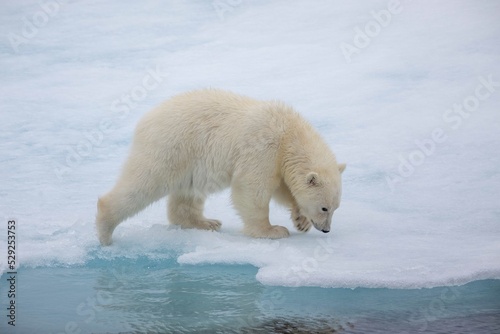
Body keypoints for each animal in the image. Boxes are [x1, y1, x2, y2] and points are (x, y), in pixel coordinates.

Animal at [96, 88, 346, 245]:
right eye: (325, 208)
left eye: (335, 207)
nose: (326, 229)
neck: (289, 132)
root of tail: (145, 120)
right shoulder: (263, 148)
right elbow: (251, 188)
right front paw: (273, 231)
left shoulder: (278, 159)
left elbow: (282, 188)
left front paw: (300, 220)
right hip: (170, 147)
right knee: (144, 183)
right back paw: (105, 230)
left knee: (187, 193)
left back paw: (206, 222)